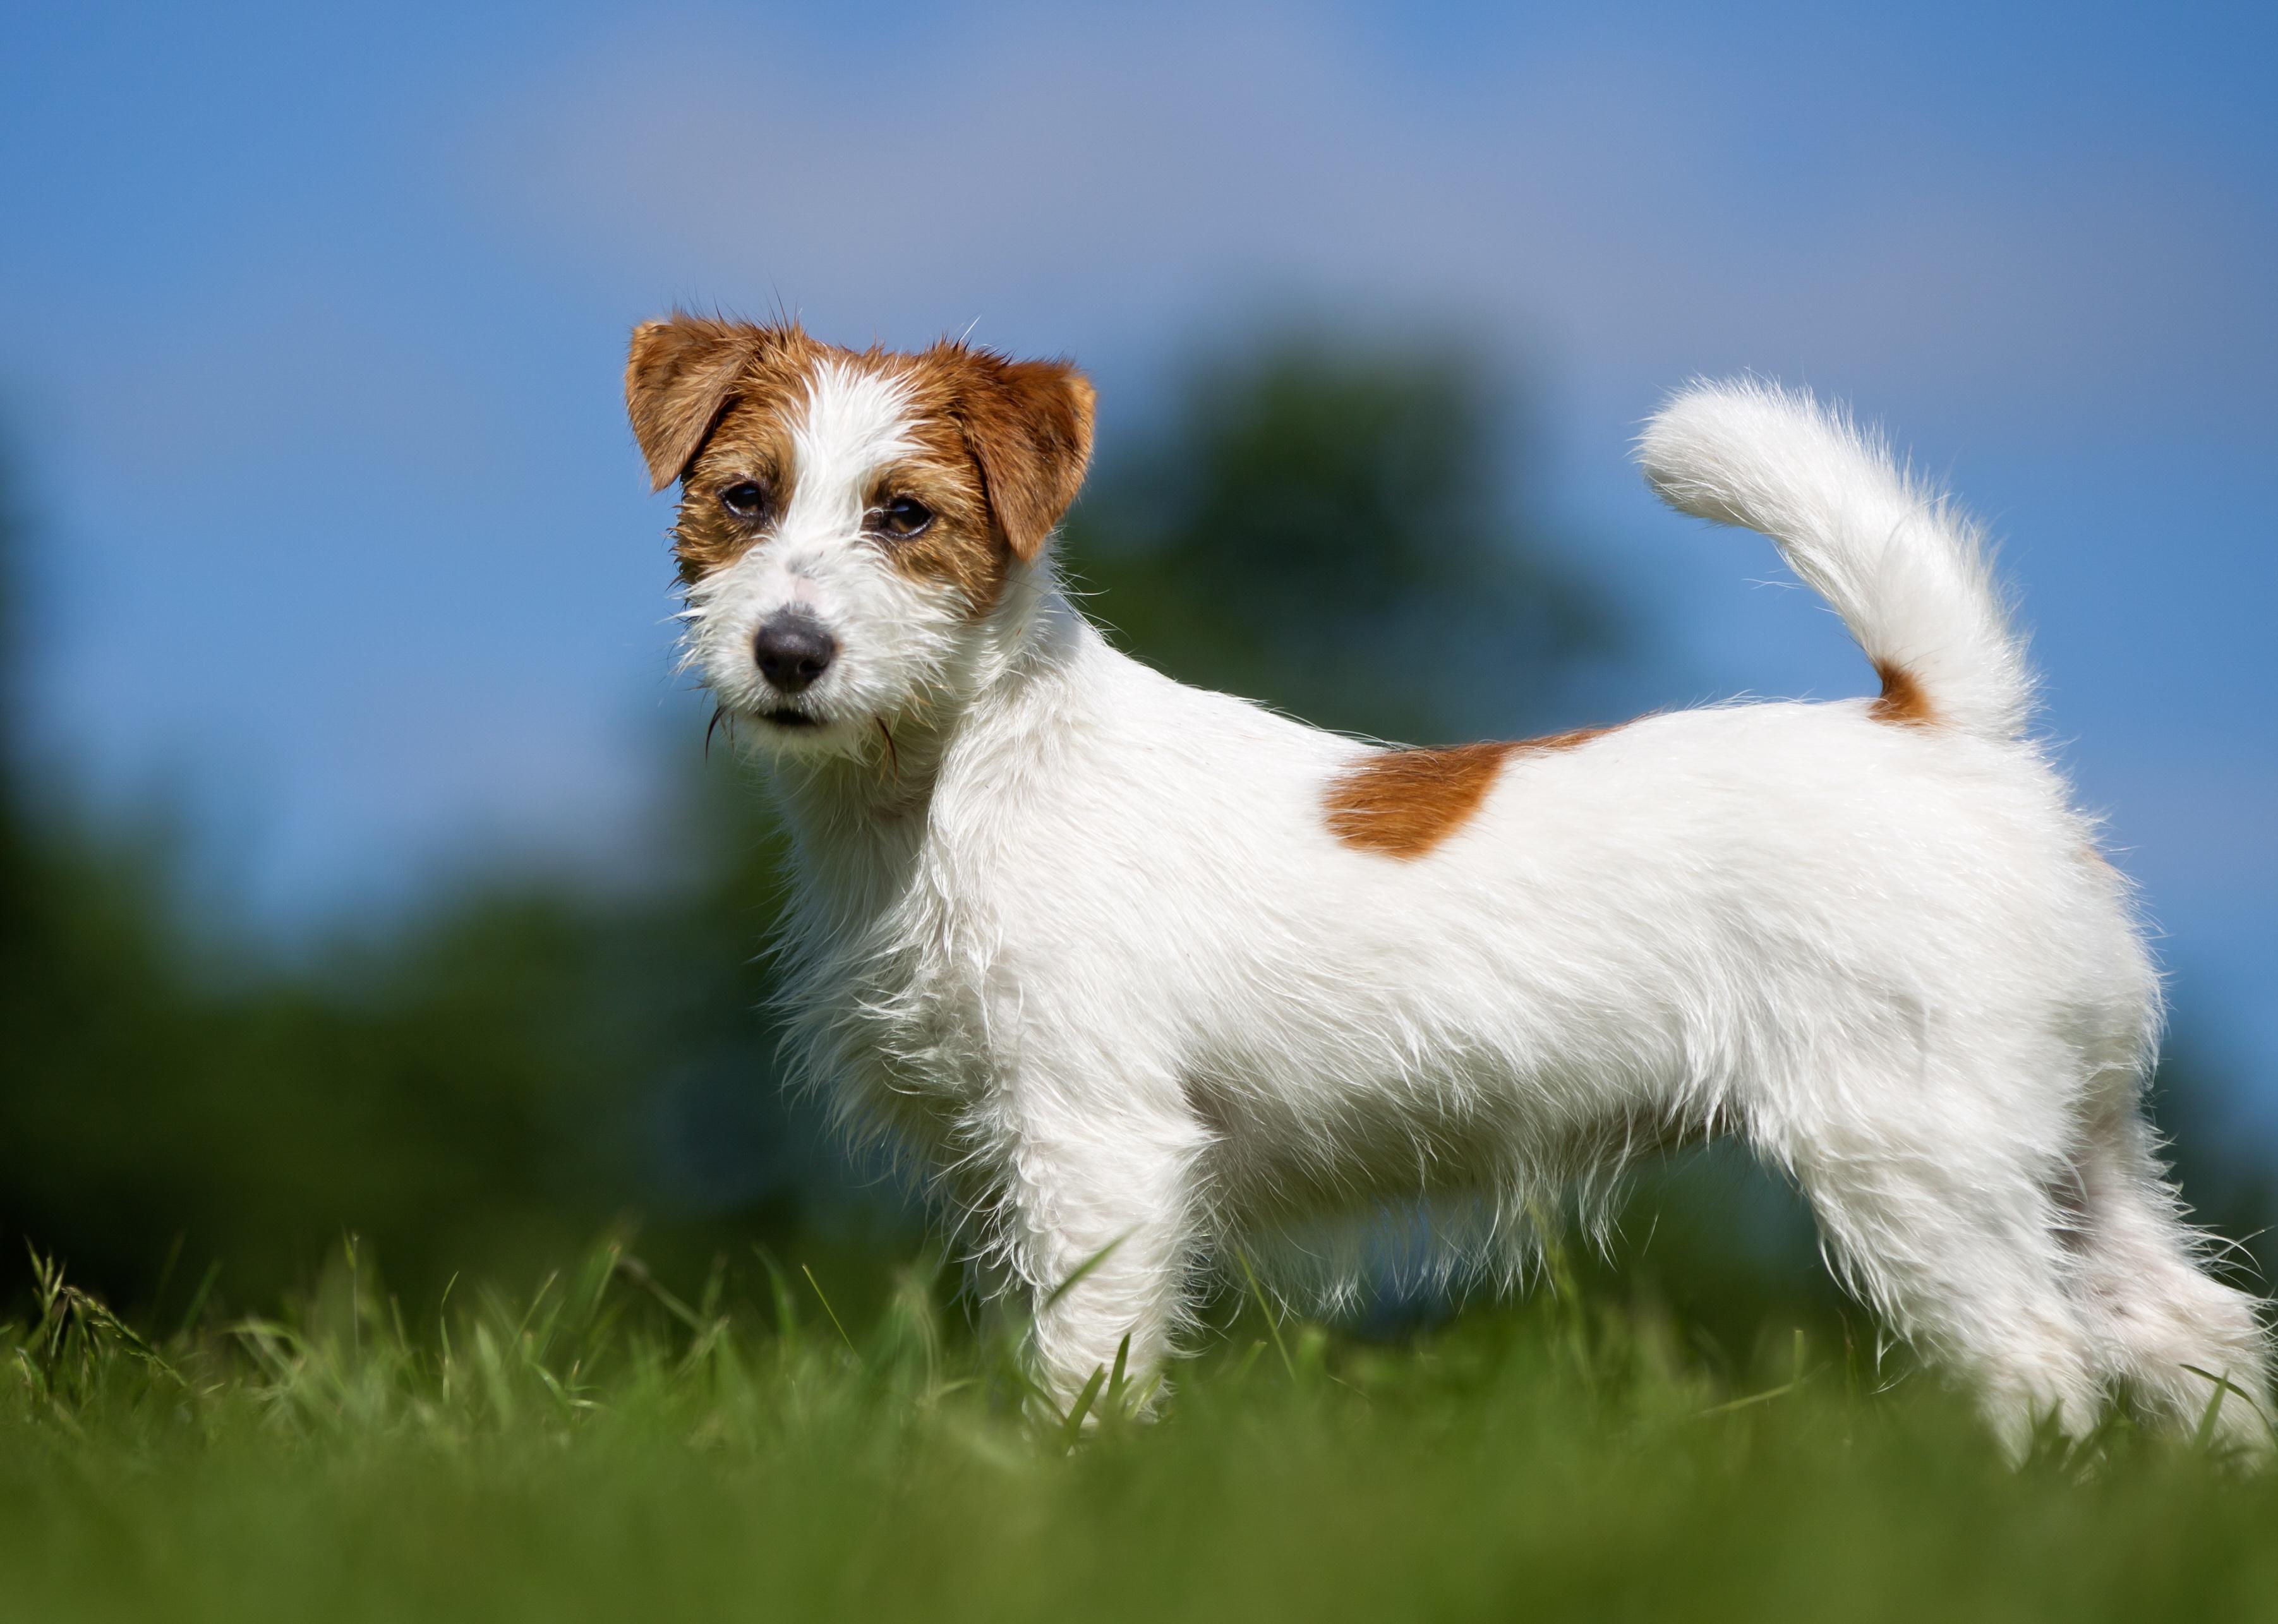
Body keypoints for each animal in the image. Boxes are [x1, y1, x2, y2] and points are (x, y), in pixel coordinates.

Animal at [629, 316, 2278, 1457]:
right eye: (742, 498)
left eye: (905, 516)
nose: (788, 654)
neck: (957, 774)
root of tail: (1944, 726)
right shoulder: (1003, 1162)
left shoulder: (1097, 1145)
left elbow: (1089, 1355)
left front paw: (1056, 1490)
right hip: (2070, 1142)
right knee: (2190, 1328)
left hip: (1914, 1151)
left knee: (2039, 1359)